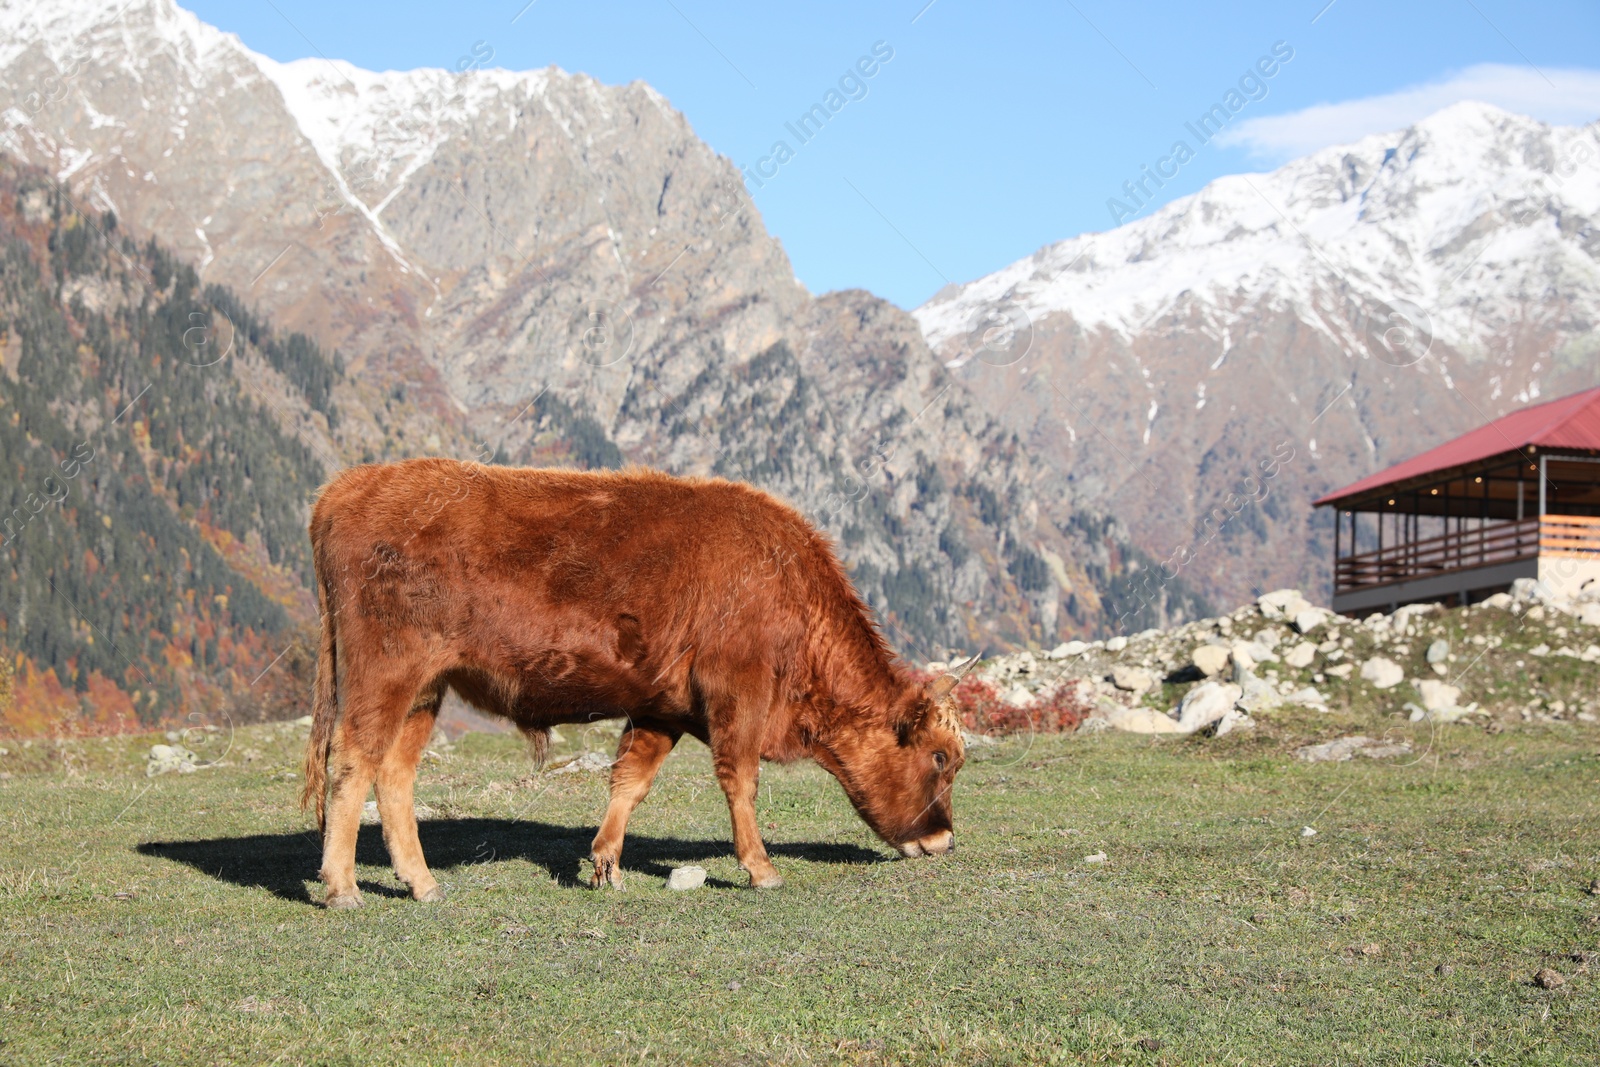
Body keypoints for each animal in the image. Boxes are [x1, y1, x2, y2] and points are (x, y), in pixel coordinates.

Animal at [304, 454, 966, 908]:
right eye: (939, 757)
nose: (943, 842)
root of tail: (348, 485)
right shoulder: (738, 691)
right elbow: (741, 780)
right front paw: (761, 869)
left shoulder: (662, 706)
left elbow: (631, 780)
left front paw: (605, 863)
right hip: (384, 674)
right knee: (354, 761)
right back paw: (341, 887)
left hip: (425, 689)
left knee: (394, 773)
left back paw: (421, 883)